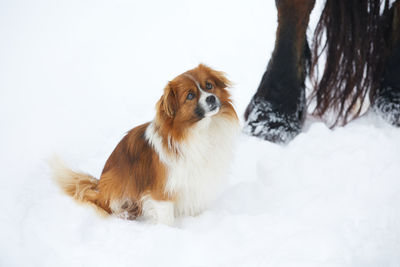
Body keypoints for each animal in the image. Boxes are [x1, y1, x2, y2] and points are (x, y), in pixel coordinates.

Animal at [50, 65, 238, 226]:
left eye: (209, 85)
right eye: (190, 96)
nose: (211, 98)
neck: (202, 130)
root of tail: (99, 191)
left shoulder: (196, 183)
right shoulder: (162, 192)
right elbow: (166, 219)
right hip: (117, 184)